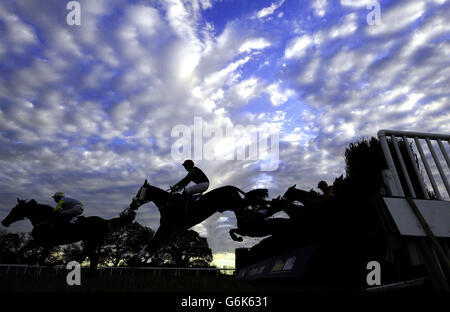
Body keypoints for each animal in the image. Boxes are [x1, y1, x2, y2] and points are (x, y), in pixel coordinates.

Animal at [1, 199, 135, 266]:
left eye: (16, 209)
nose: (4, 221)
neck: (45, 219)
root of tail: (105, 221)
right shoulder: (42, 242)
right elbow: (23, 250)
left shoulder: (44, 242)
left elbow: (37, 257)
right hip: (90, 241)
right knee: (91, 257)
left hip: (92, 241)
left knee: (90, 257)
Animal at [128, 180, 284, 258]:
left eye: (139, 191)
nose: (132, 204)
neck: (168, 203)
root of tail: (230, 187)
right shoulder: (170, 230)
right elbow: (155, 245)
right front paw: (143, 258)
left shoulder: (166, 226)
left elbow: (153, 243)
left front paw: (137, 259)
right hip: (233, 206)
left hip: (236, 204)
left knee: (254, 204)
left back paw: (278, 203)